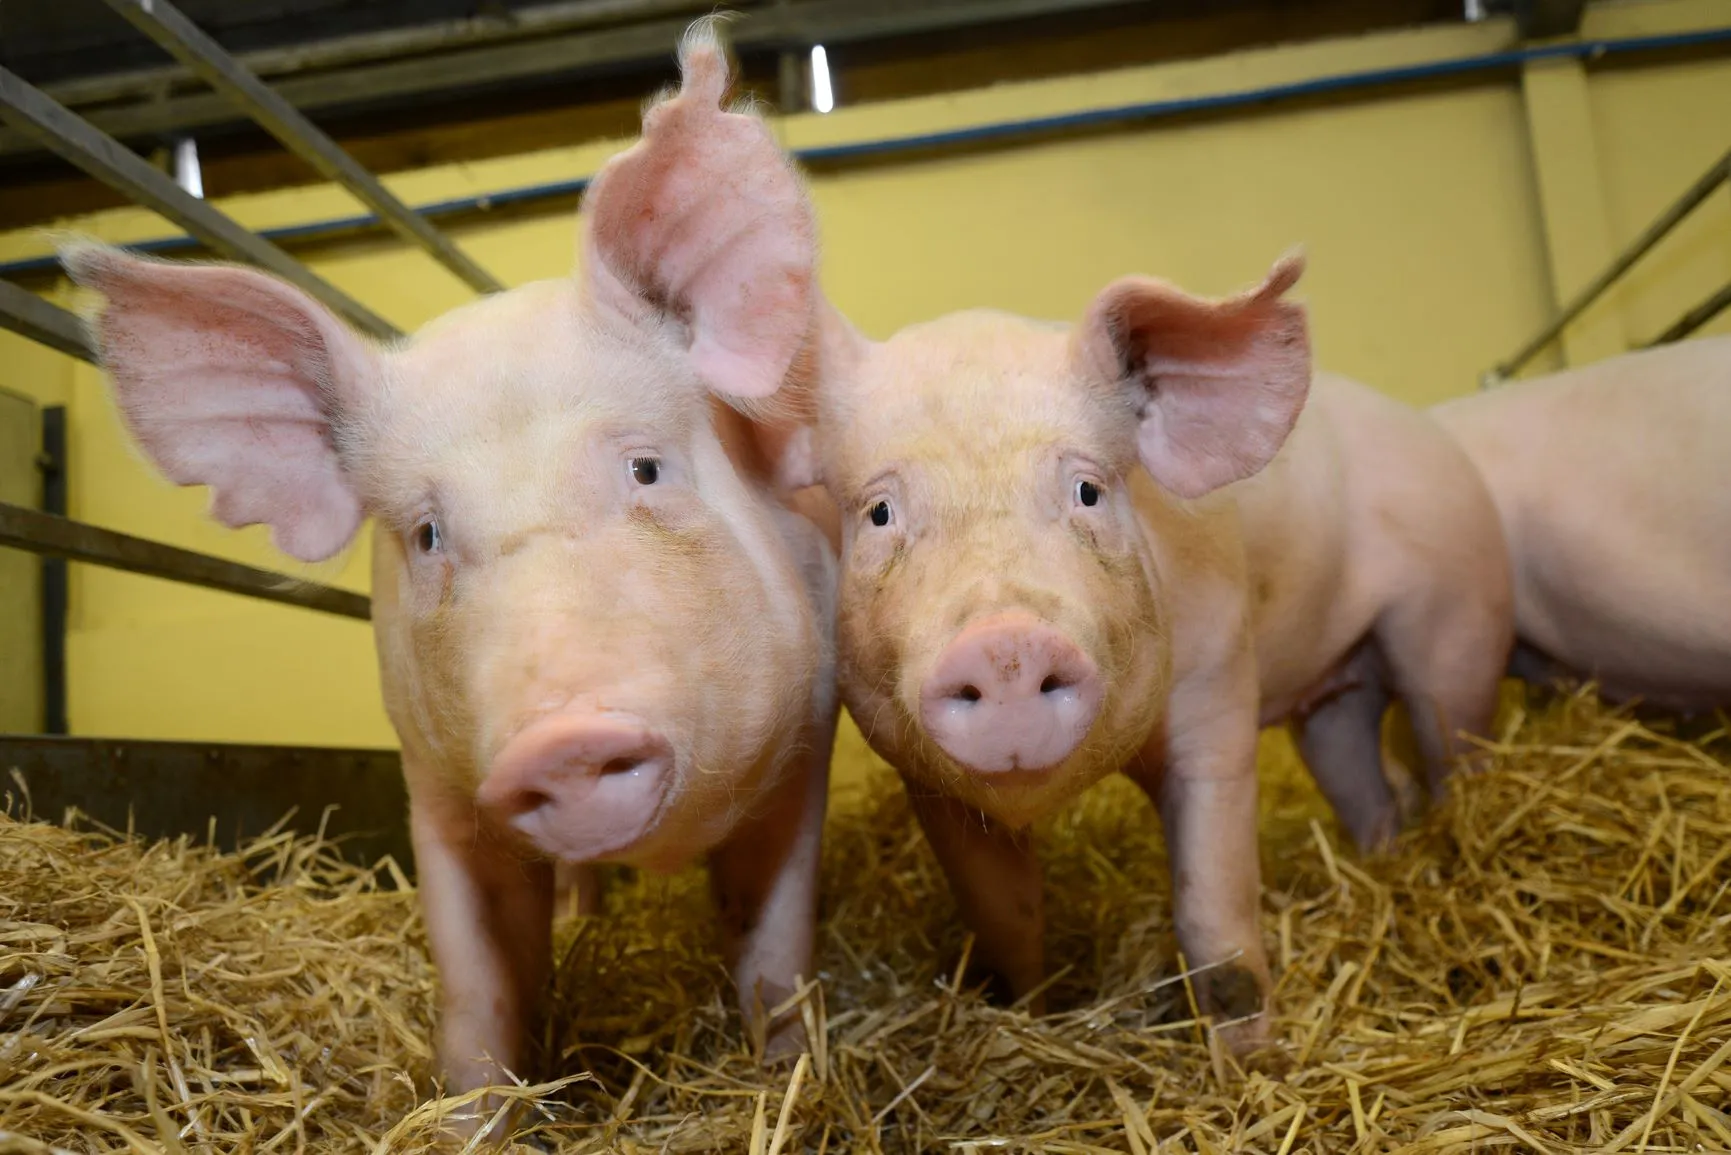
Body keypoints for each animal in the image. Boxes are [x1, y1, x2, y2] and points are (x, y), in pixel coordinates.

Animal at [62, 22, 837, 1129]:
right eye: (426, 534)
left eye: (646, 469)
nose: (560, 739)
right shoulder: (431, 784)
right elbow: (478, 978)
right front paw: (473, 1115)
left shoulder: (808, 731)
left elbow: (773, 945)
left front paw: (787, 1078)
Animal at [777, 254, 1513, 1049]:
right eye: (879, 512)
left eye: (1088, 491)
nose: (1005, 645)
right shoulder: (925, 781)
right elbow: (1007, 916)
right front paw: (1032, 1011)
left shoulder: (1218, 684)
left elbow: (1214, 918)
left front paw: (1247, 1058)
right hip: (1335, 702)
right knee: (1364, 781)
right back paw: (1382, 854)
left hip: (1457, 620)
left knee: (1452, 748)